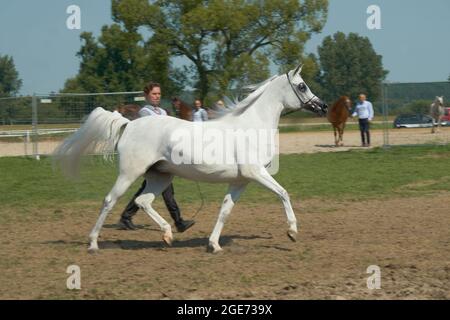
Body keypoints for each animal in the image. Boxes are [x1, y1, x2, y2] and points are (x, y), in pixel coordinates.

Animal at [52, 66, 326, 254]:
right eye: (302, 86)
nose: (322, 107)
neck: (252, 125)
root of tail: (129, 124)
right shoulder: (256, 173)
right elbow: (283, 193)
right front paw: (292, 232)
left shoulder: (241, 181)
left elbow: (225, 210)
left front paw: (214, 245)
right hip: (130, 173)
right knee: (110, 200)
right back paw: (93, 244)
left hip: (160, 176)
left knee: (142, 200)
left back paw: (167, 235)